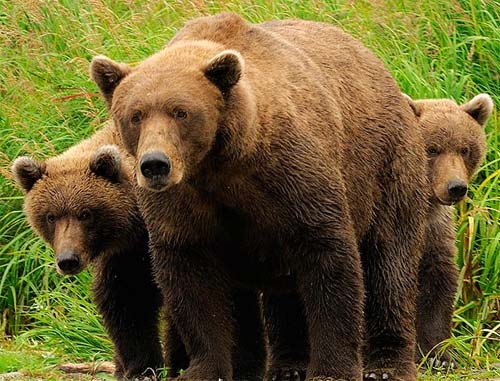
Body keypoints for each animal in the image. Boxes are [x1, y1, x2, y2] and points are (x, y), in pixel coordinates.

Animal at [91, 12, 430, 380]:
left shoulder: (291, 177)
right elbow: (193, 284)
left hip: (387, 167)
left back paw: (387, 364)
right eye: (135, 115)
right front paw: (204, 368)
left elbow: (329, 256)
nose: (155, 164)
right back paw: (284, 365)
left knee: (389, 264)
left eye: (181, 111)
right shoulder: (184, 207)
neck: (217, 166)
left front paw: (333, 368)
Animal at [406, 92, 492, 366]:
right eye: (432, 148)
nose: (456, 187)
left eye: (464, 149)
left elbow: (438, 281)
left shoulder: (435, 231)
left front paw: (438, 355)